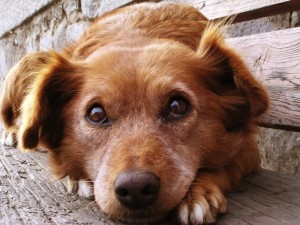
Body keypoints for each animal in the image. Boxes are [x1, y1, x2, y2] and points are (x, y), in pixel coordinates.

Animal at [0, 1, 268, 223]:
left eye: (177, 107)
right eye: (96, 114)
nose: (136, 189)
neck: (140, 33)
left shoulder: (249, 147)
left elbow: (224, 163)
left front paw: (198, 193)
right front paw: (77, 175)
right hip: (30, 62)